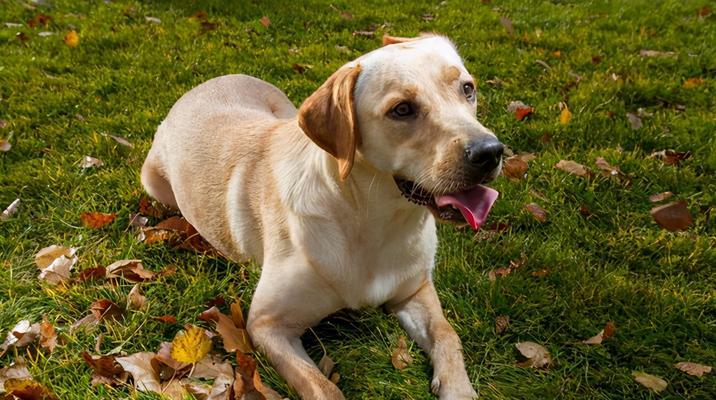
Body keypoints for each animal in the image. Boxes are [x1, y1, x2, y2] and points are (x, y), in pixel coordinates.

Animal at [143, 34, 504, 400]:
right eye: (402, 109)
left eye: (467, 88)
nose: (490, 152)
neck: (374, 222)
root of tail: (206, 83)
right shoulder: (266, 324)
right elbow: (324, 387)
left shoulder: (414, 289)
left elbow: (447, 333)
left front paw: (458, 388)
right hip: (153, 182)